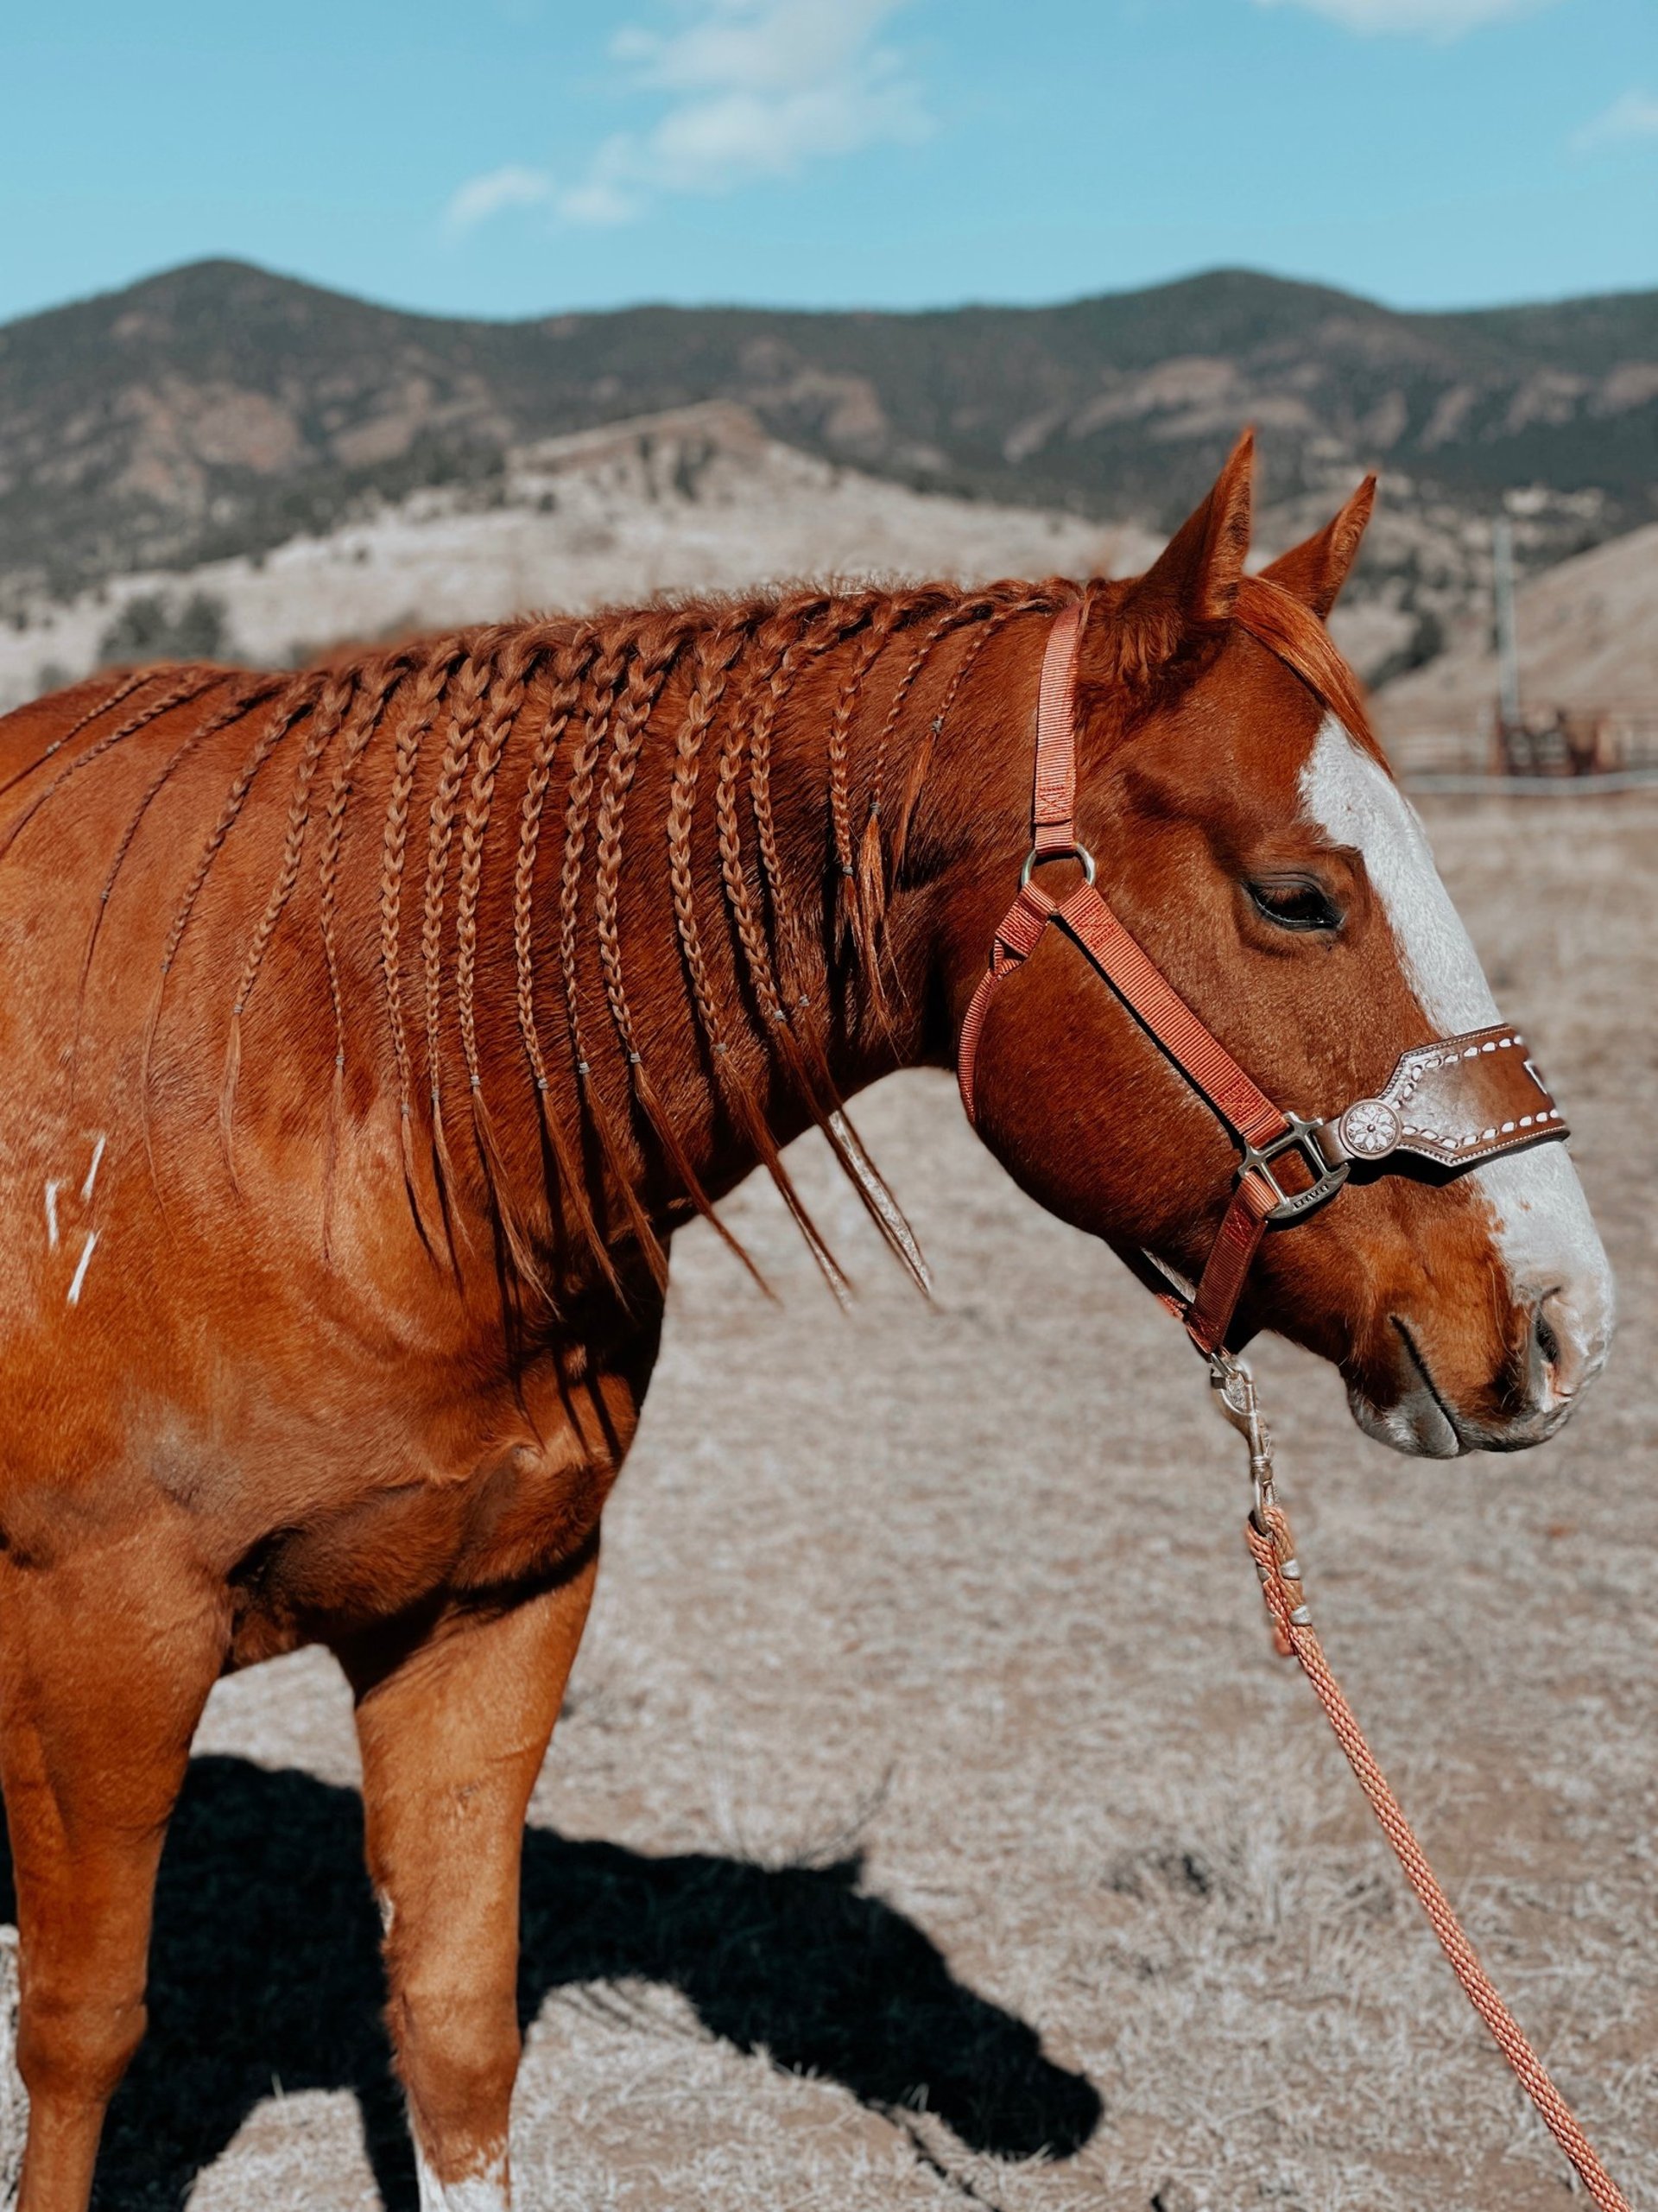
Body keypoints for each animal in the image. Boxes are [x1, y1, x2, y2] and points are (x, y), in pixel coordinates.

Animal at [0, 431, 1611, 2210]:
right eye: (1298, 898)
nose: (1562, 1316)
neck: (350, 1092)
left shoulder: (490, 1612)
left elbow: (455, 2027)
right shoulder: (99, 1648)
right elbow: (82, 2043)